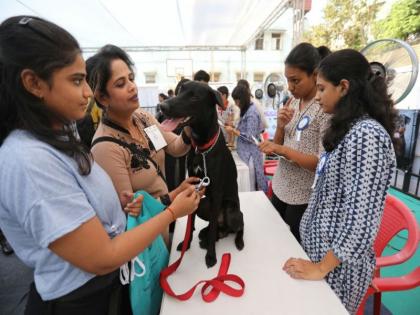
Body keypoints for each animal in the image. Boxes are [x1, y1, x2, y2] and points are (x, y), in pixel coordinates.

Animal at [161, 80, 246, 268]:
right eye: (180, 91)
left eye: (194, 97)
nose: (162, 106)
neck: (202, 148)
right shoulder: (194, 187)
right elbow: (191, 220)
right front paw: (186, 243)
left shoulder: (217, 192)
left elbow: (213, 226)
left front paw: (211, 256)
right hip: (203, 205)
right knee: (216, 229)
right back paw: (206, 236)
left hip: (232, 211)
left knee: (237, 225)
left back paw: (236, 240)